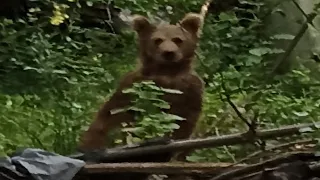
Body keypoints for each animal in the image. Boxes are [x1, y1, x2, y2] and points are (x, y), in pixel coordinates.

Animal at [77, 13, 204, 162]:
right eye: (158, 40)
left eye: (177, 39)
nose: (168, 53)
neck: (166, 73)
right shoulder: (131, 86)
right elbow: (110, 116)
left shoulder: (191, 89)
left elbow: (183, 121)